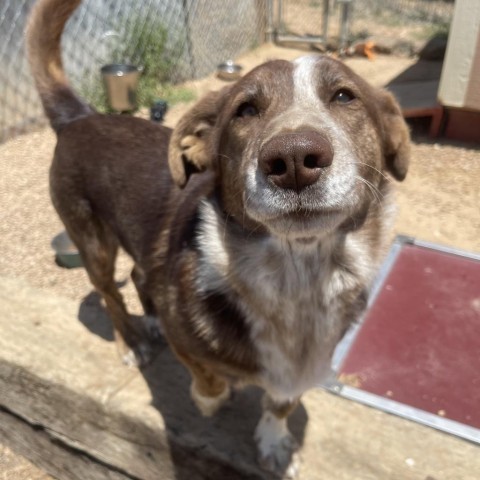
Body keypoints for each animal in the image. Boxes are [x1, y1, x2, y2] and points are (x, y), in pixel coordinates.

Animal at [26, 0, 408, 474]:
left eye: (344, 96)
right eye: (245, 110)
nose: (294, 158)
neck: (297, 279)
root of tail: (81, 117)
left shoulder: (305, 366)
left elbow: (281, 402)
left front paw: (274, 441)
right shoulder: (187, 336)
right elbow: (206, 375)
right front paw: (210, 398)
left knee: (137, 276)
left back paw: (150, 318)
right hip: (93, 241)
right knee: (109, 294)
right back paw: (132, 342)